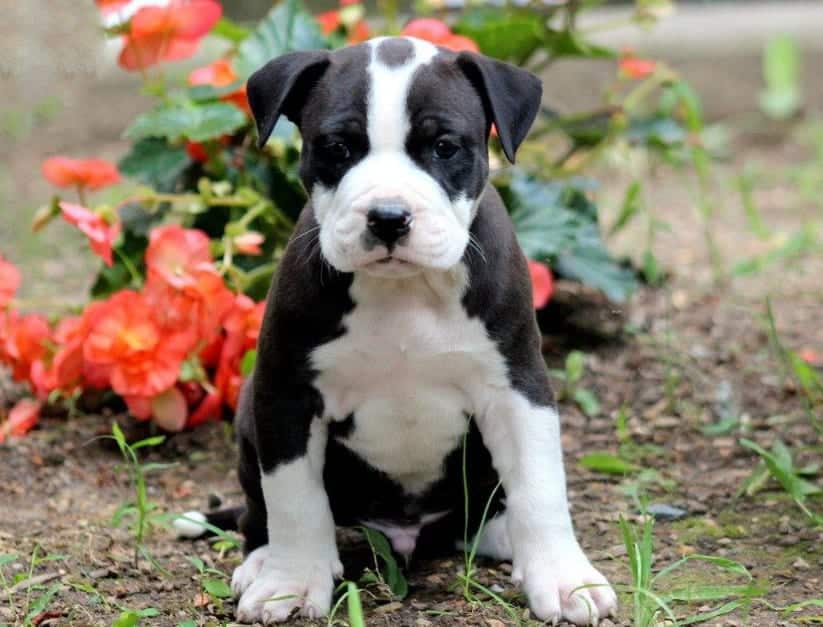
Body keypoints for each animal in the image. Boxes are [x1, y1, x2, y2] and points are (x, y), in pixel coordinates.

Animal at [180, 35, 616, 627]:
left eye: (445, 147)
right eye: (338, 147)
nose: (388, 216)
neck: (406, 289)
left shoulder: (518, 386)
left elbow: (540, 485)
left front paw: (564, 577)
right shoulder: (286, 393)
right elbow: (294, 498)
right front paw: (290, 583)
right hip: (251, 410)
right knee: (259, 511)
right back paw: (264, 560)